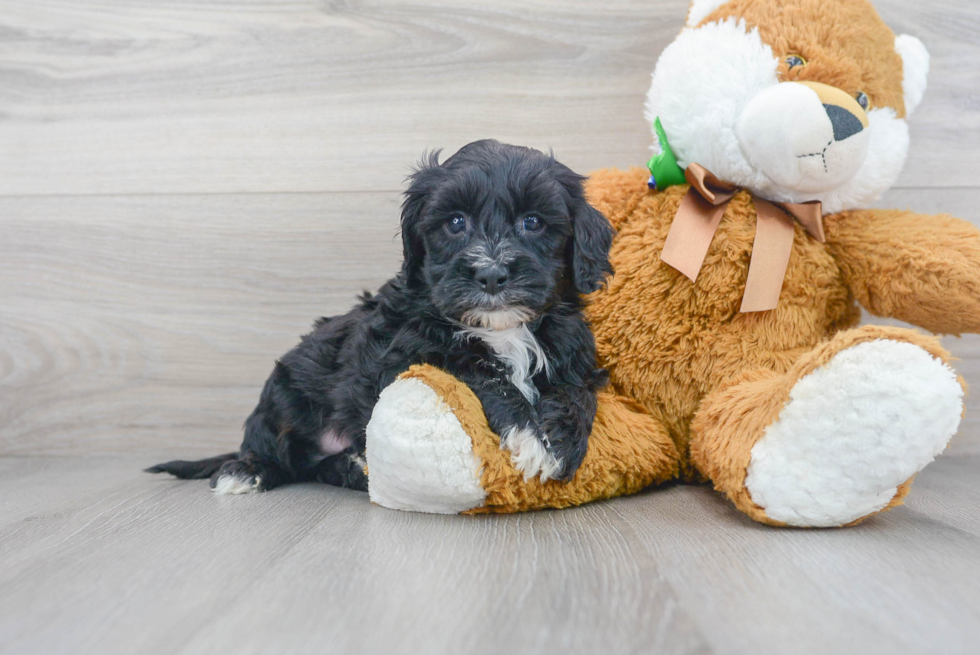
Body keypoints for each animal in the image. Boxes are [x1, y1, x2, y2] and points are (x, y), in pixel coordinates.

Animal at [147, 141, 612, 494]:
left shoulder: (575, 357)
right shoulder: (402, 356)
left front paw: (557, 442)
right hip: (284, 392)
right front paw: (528, 431)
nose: (492, 274)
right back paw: (248, 471)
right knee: (275, 449)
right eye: (455, 222)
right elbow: (475, 370)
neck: (503, 329)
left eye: (533, 221)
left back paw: (353, 466)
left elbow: (576, 394)